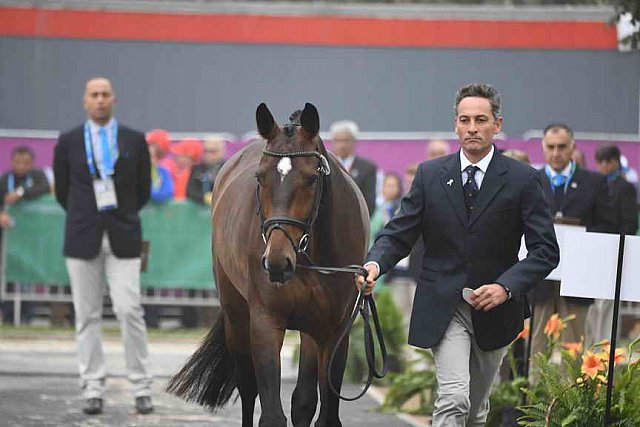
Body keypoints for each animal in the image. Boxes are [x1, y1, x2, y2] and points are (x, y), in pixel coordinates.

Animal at [168, 103, 370, 427]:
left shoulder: (335, 331)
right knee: (248, 388)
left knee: (303, 399)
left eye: (311, 178)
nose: (276, 262)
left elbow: (323, 412)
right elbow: (271, 412)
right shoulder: (265, 322)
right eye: (260, 177)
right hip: (236, 317)